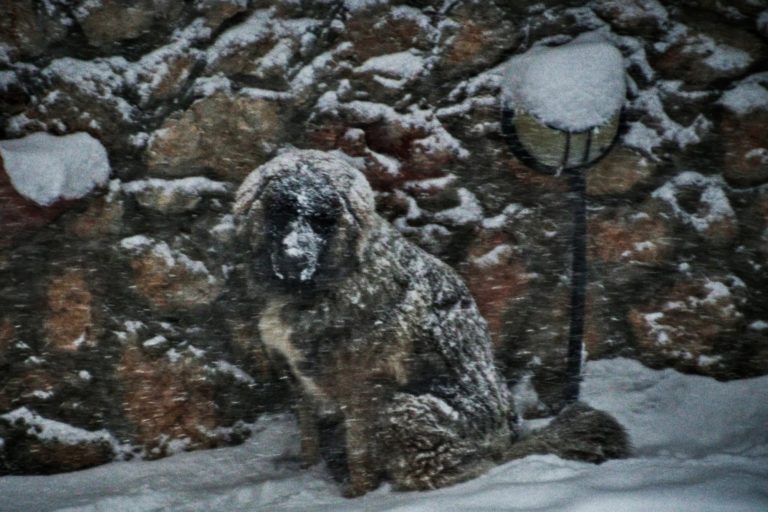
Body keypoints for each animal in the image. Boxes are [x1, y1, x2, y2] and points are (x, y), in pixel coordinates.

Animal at [234, 151, 632, 496]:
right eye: (281, 212)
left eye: (321, 219)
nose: (294, 259)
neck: (322, 287)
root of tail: (505, 445)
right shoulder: (298, 383)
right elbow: (308, 439)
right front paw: (308, 473)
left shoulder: (363, 389)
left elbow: (359, 455)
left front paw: (357, 496)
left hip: (402, 408)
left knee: (461, 468)